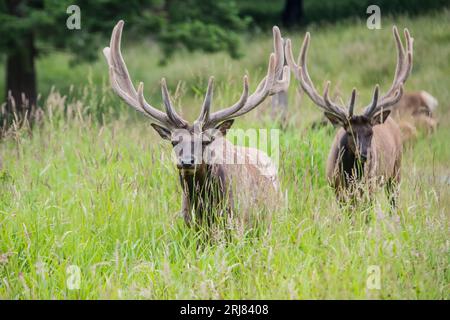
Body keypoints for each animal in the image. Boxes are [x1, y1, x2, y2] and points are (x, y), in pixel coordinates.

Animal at [286, 27, 414, 208]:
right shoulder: (337, 191)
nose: (365, 154)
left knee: (393, 203)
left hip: (396, 170)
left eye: (371, 132)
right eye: (350, 132)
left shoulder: (369, 189)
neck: (350, 176)